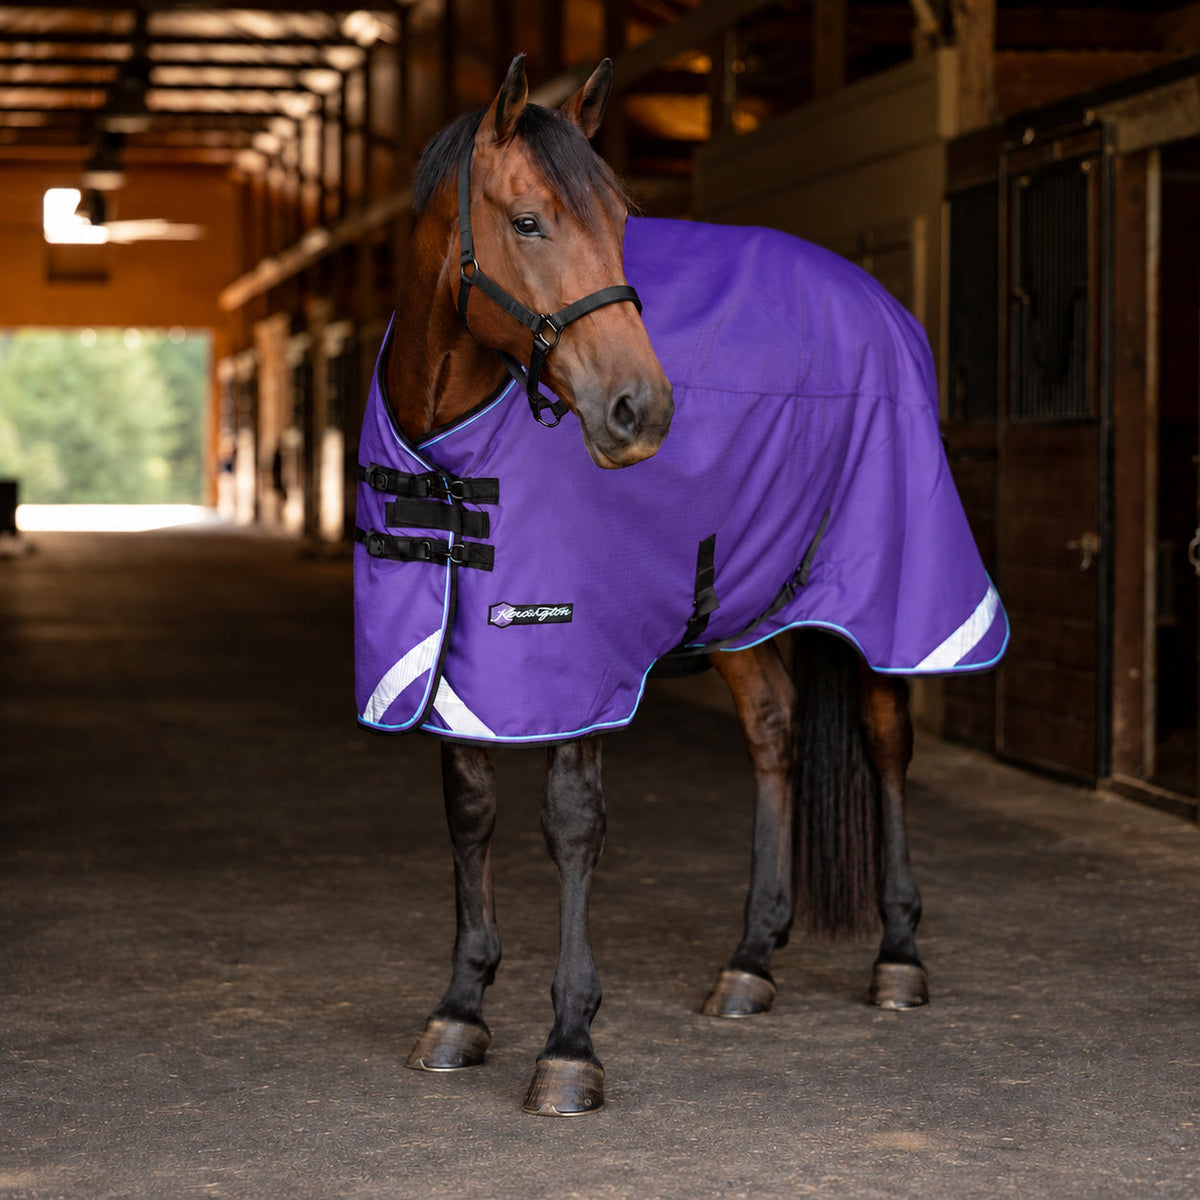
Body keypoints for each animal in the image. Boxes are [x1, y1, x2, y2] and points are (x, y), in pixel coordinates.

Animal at [355, 54, 1006, 1117]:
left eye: (623, 221)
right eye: (528, 221)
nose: (640, 410)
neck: (451, 454)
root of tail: (877, 303)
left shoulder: (574, 661)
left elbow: (572, 825)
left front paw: (570, 1045)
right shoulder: (459, 667)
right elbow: (471, 813)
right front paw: (459, 1010)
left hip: (891, 597)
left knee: (887, 739)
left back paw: (899, 955)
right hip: (745, 610)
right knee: (776, 734)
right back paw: (752, 959)